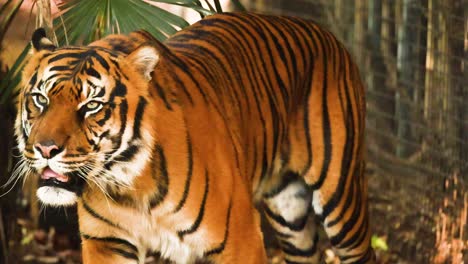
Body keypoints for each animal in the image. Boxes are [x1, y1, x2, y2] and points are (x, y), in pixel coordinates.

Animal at [13, 11, 376, 262]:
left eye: (91, 105)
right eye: (40, 99)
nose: (46, 149)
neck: (128, 187)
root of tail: (325, 31)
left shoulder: (240, 239)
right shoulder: (107, 242)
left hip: (342, 199)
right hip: (290, 213)